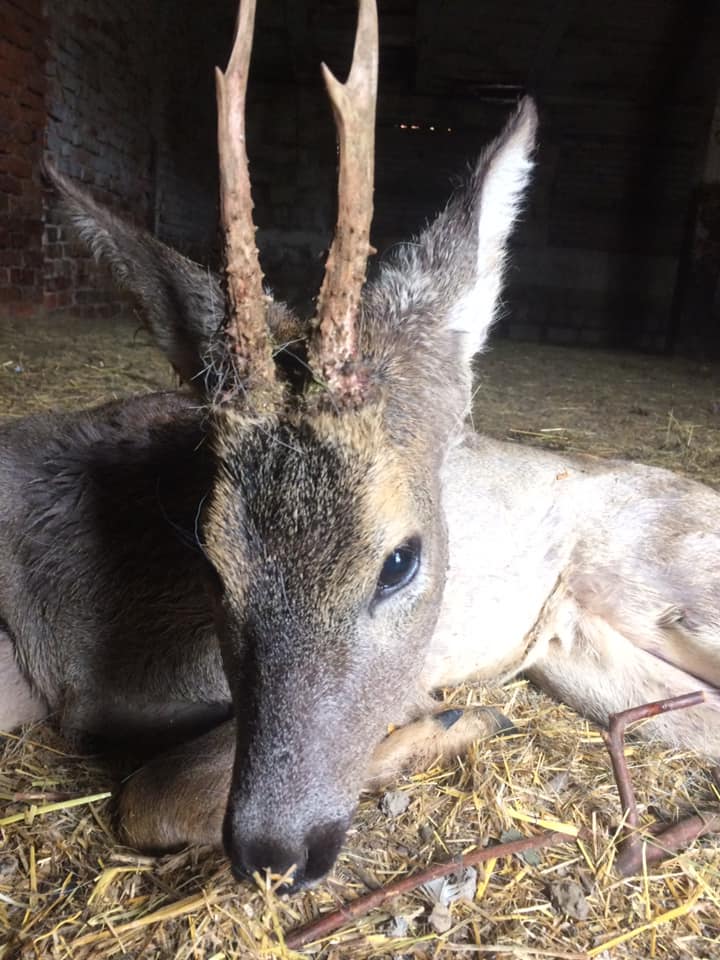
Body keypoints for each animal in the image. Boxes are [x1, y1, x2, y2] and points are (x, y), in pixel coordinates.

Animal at [1, 0, 720, 888]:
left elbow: (148, 794)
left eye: (400, 562)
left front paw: (451, 723)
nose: (275, 849)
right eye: (209, 557)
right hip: (587, 653)